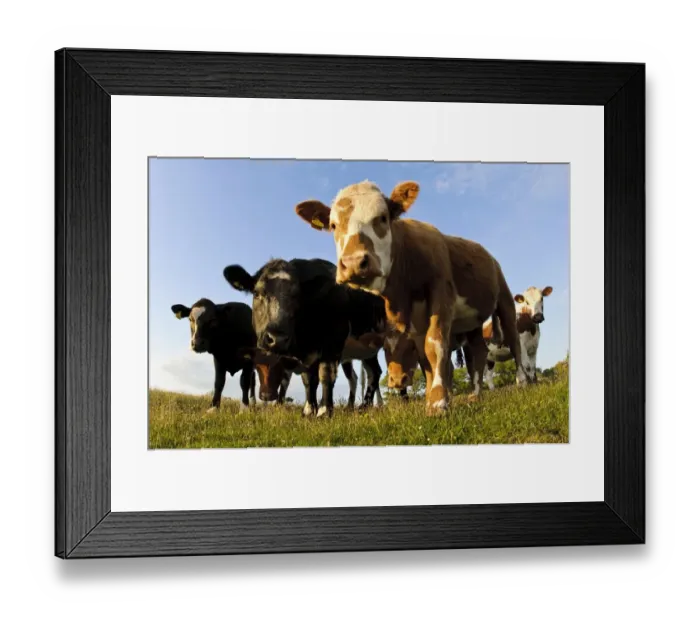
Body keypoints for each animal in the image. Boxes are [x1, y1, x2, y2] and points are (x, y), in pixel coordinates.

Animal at [222, 258, 387, 418]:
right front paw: (309, 410)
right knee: (370, 373)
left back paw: (365, 405)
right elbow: (308, 379)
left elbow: (326, 374)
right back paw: (359, 406)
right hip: (366, 350)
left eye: (297, 297)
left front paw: (324, 411)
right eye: (256, 293)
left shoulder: (334, 340)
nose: (277, 338)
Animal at [294, 179, 529, 414]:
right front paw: (431, 398)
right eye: (333, 225)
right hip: (473, 322)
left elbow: (435, 344)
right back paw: (476, 394)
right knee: (478, 352)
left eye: (382, 217)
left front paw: (438, 401)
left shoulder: (441, 293)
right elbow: (425, 358)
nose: (353, 263)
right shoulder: (415, 321)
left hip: (505, 299)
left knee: (513, 338)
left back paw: (522, 381)